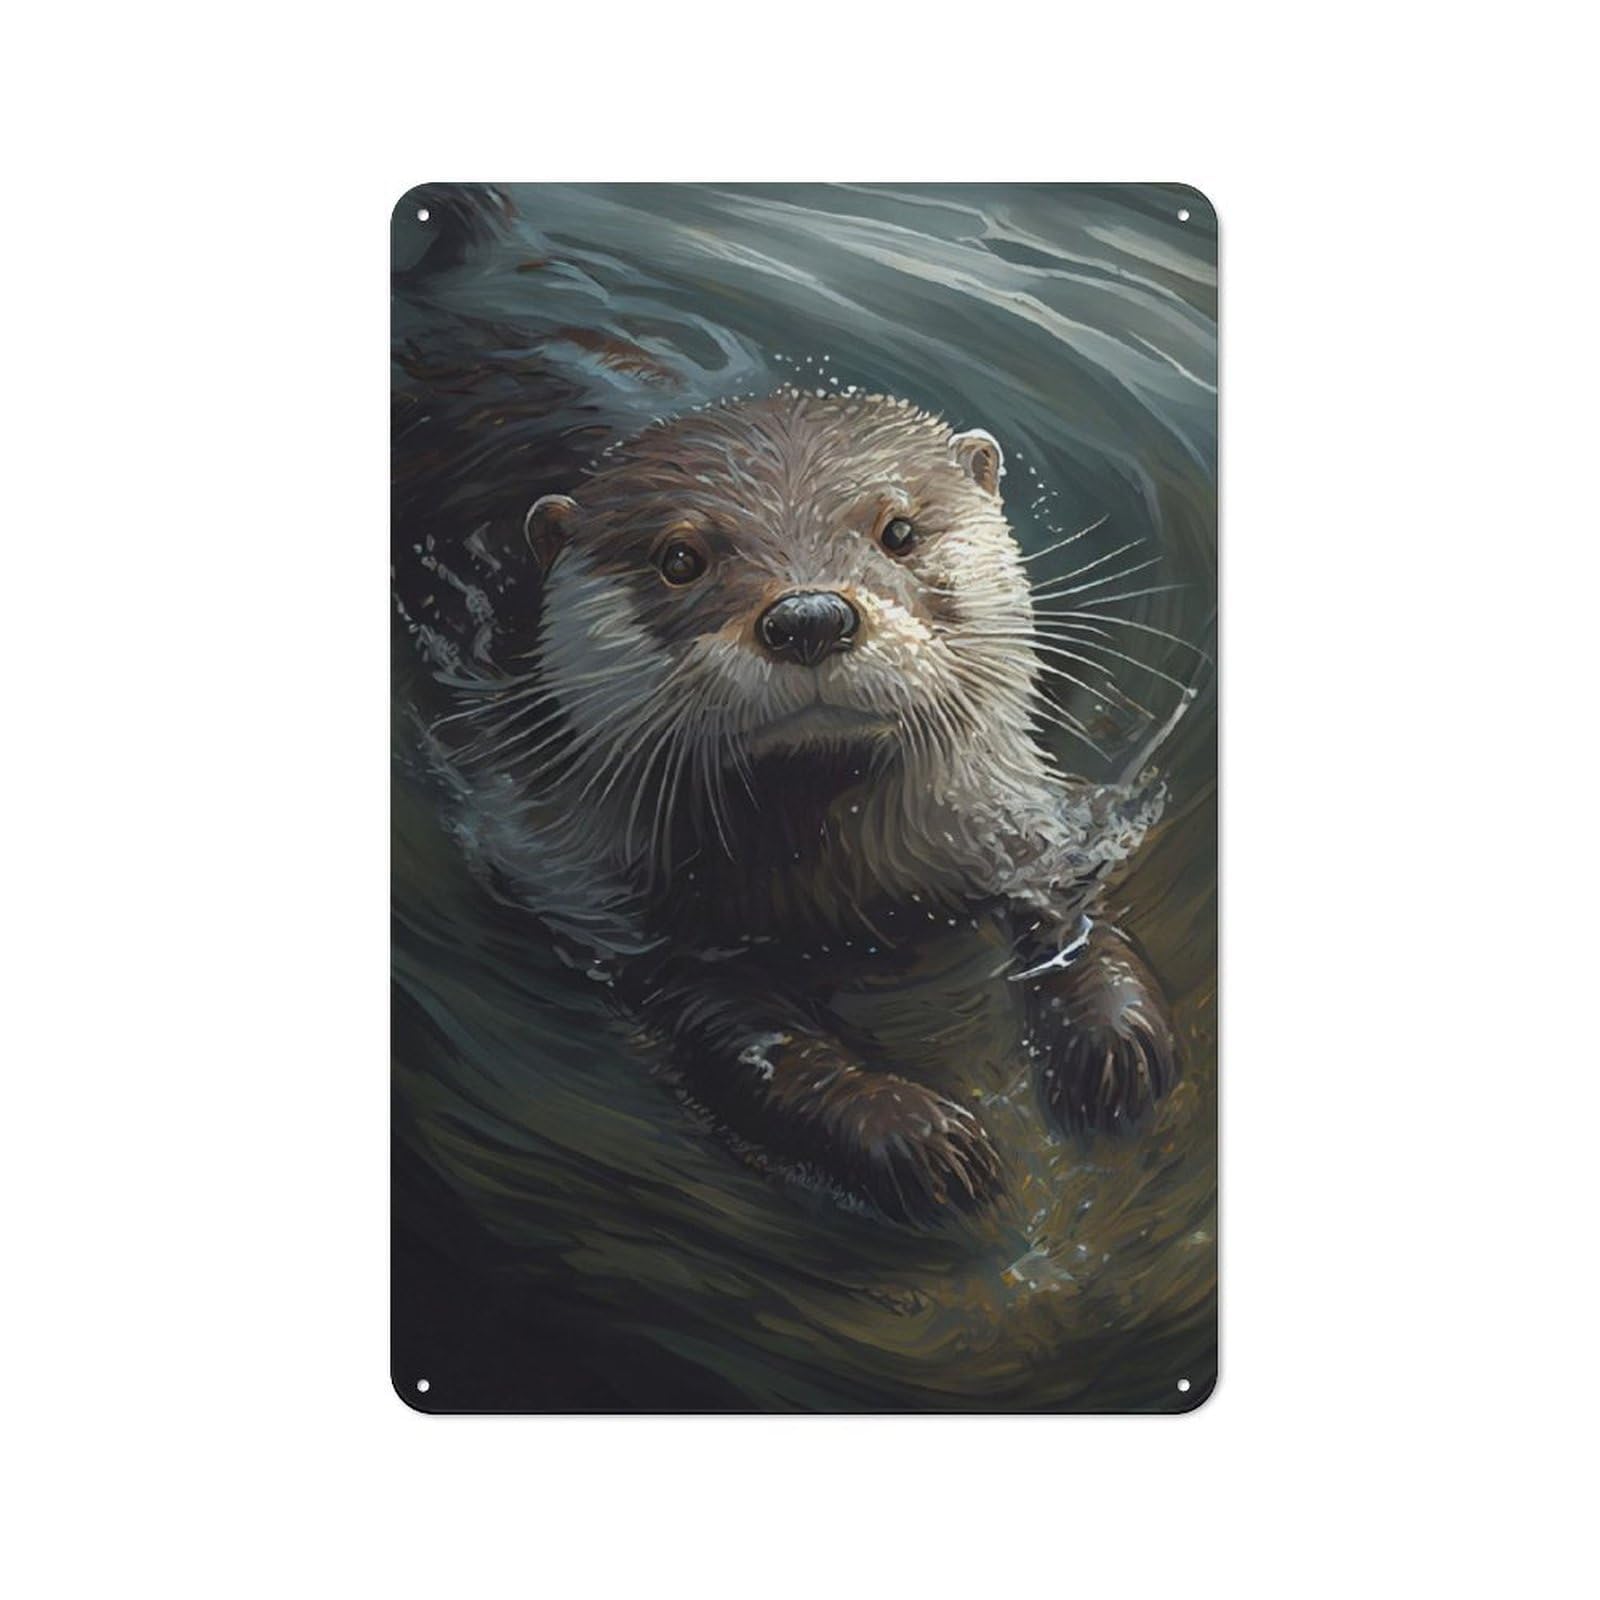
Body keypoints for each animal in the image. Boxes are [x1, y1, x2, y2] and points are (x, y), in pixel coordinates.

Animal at [437, 389, 1181, 1224]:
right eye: (680, 560)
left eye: (899, 532)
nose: (810, 616)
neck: (846, 880)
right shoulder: (605, 903)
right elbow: (753, 1043)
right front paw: (913, 1136)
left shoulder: (1018, 818)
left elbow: (1070, 906)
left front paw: (1116, 1040)